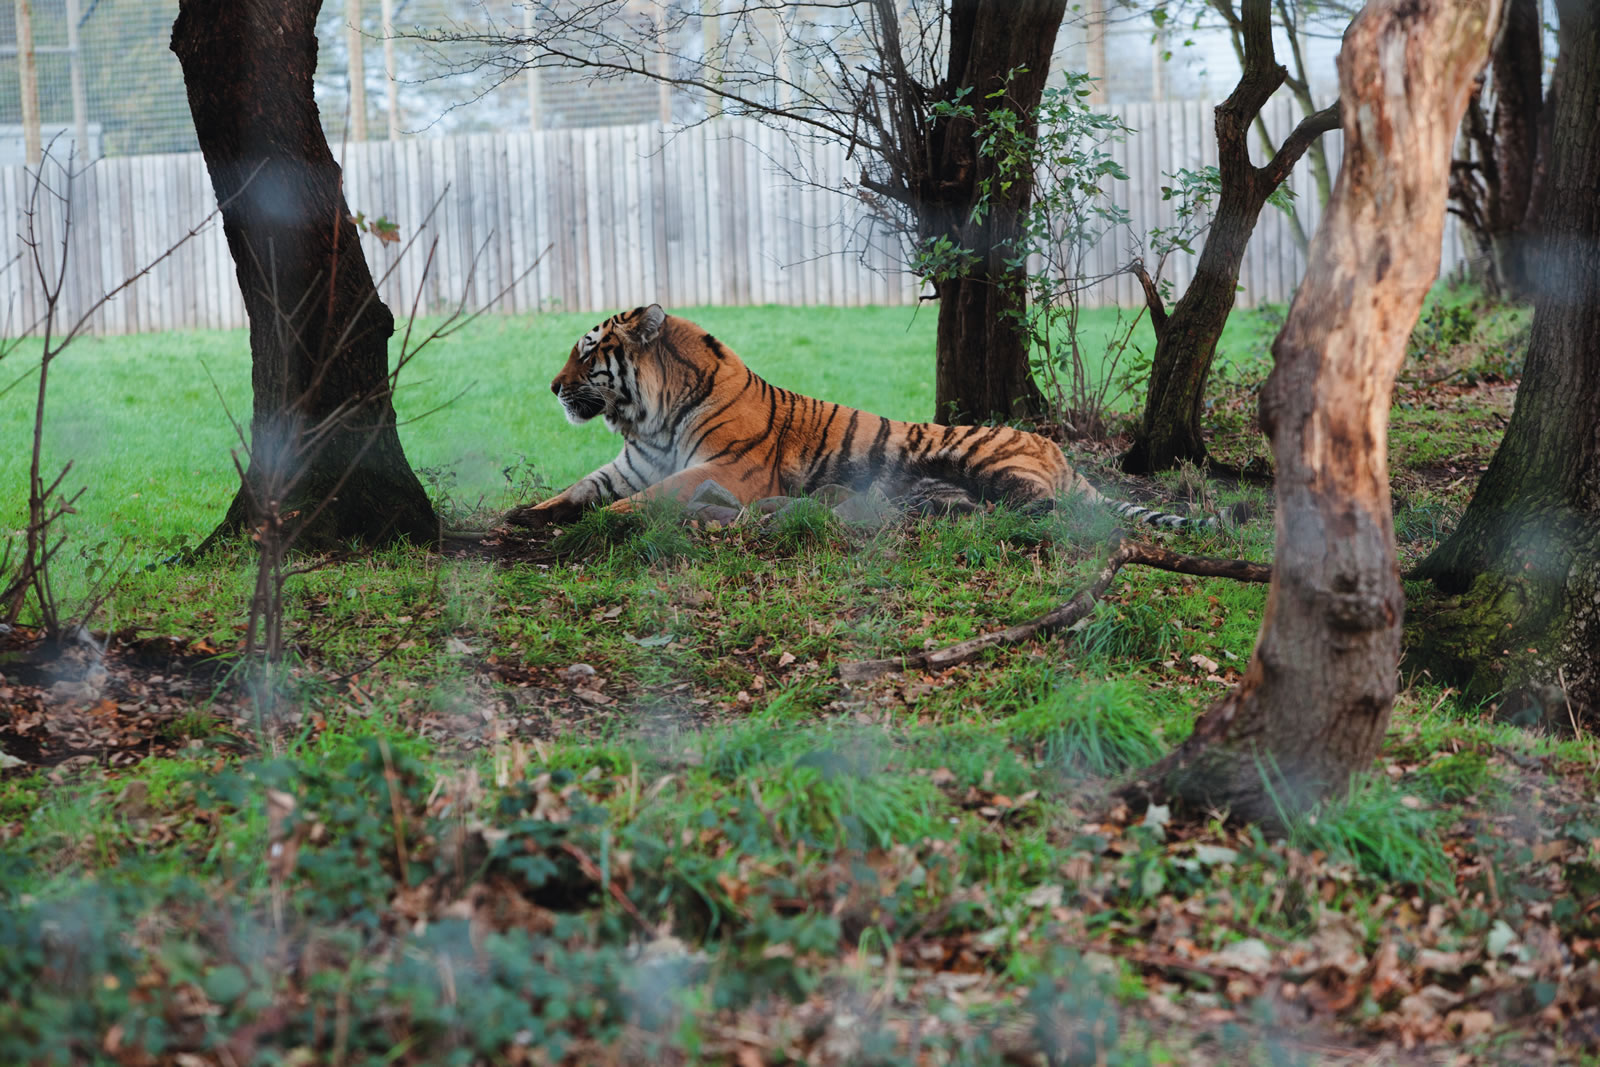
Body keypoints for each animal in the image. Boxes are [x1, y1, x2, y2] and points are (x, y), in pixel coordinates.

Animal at [506, 304, 1236, 531]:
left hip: (983, 457)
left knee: (1039, 509)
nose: (550, 386)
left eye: (587, 352)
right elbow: (579, 488)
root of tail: (1059, 450)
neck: (648, 418)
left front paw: (605, 521)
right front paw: (526, 514)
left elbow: (649, 498)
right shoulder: (630, 464)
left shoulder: (724, 470)